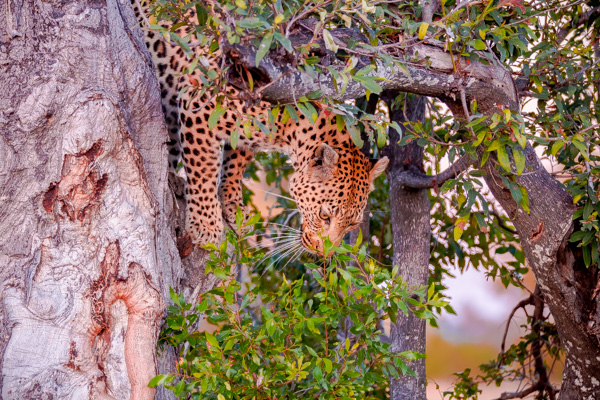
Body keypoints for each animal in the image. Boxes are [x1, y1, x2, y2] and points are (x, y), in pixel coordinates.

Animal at [131, 0, 390, 256]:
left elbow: (235, 163)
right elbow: (203, 169)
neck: (290, 126)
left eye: (352, 224)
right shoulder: (200, 107)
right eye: (324, 216)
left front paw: (233, 206)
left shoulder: (243, 133)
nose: (324, 253)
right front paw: (207, 226)